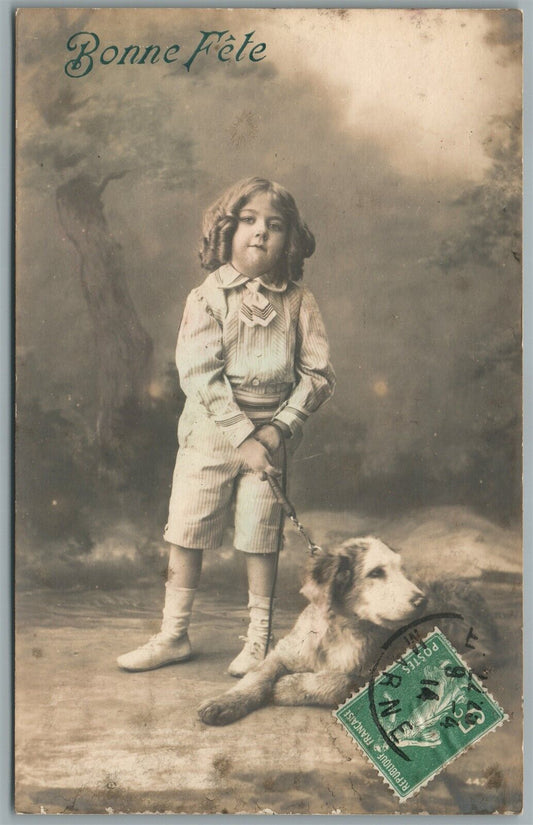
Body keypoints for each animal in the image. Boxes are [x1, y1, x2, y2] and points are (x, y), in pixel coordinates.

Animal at [197, 536, 426, 724]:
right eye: (376, 572)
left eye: (402, 571)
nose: (422, 601)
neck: (341, 630)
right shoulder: (281, 653)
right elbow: (257, 676)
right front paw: (225, 702)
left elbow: (339, 681)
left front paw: (285, 687)